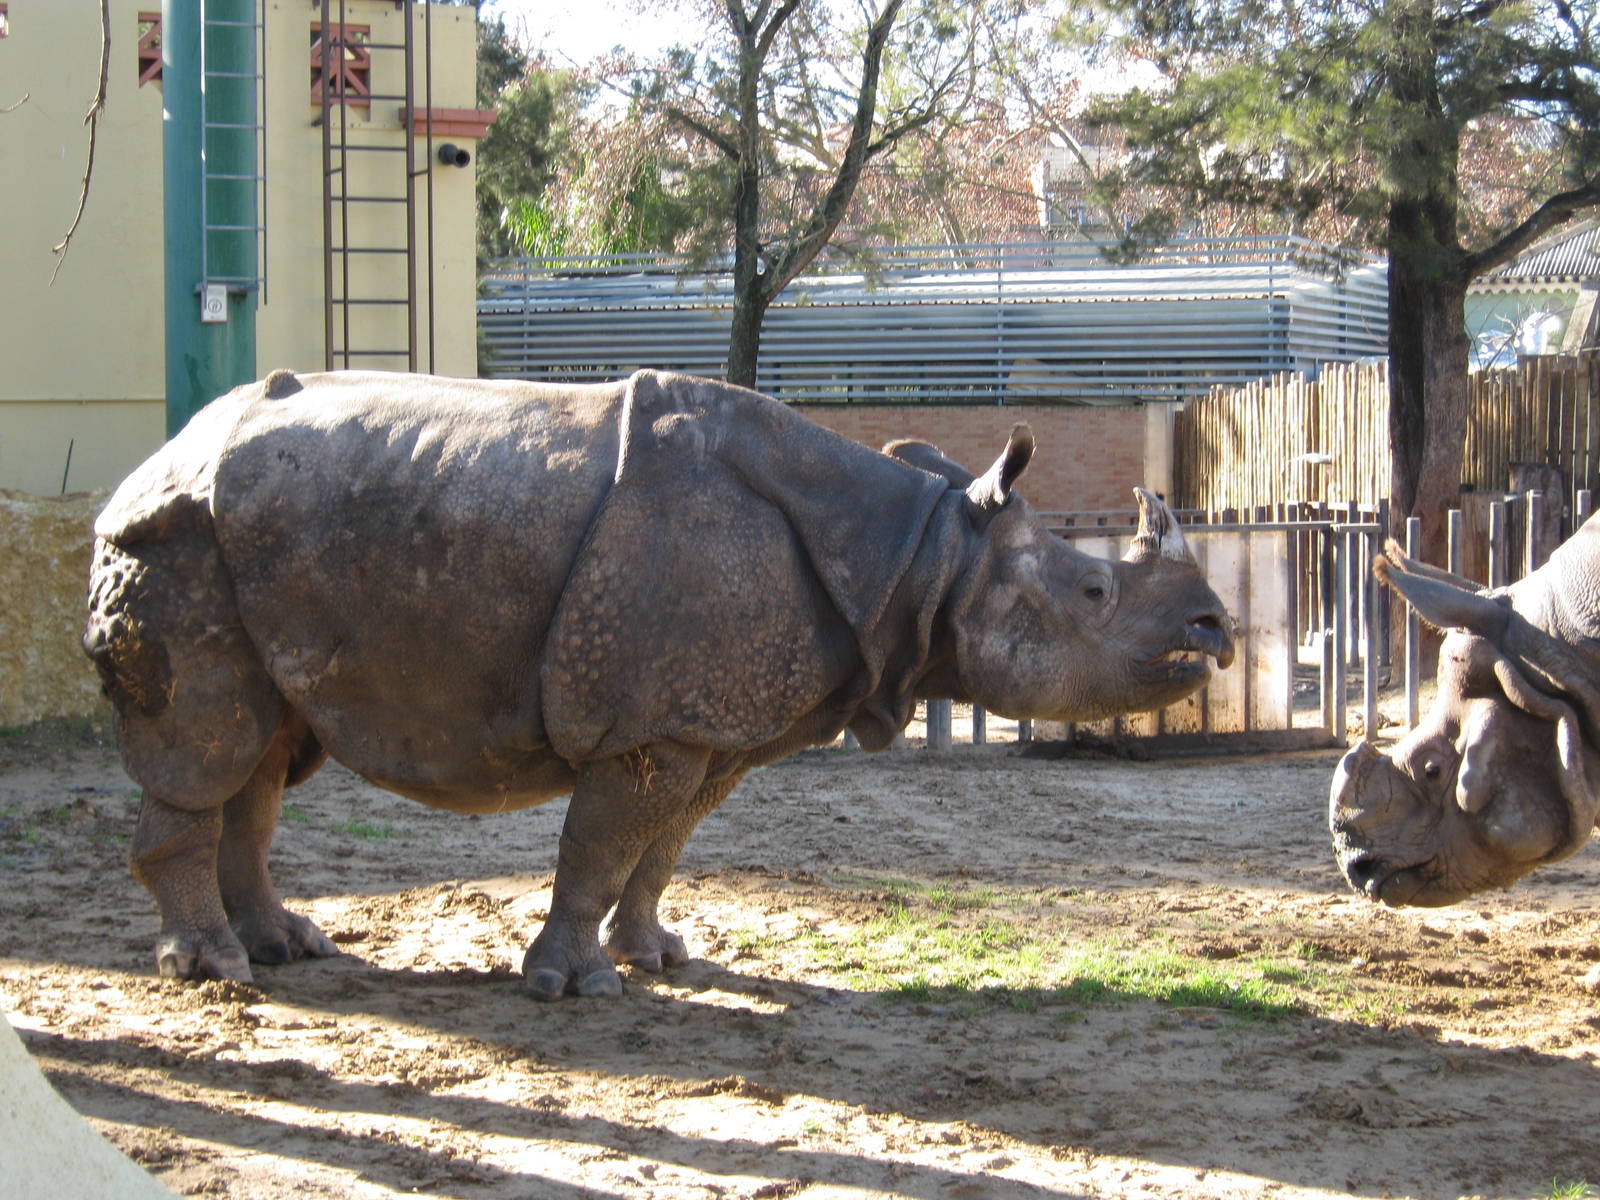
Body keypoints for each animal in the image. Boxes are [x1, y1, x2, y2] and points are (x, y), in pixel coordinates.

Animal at [85, 368, 1235, 1000]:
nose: (1217, 629)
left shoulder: (709, 723)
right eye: (1094, 589)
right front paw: (573, 985)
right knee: (211, 740)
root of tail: (158, 451)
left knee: (266, 754)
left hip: (264, 553)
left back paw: (283, 947)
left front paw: (659, 957)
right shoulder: (653, 719)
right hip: (182, 541)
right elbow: (600, 847)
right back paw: (215, 972)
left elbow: (661, 849)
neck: (923, 553)